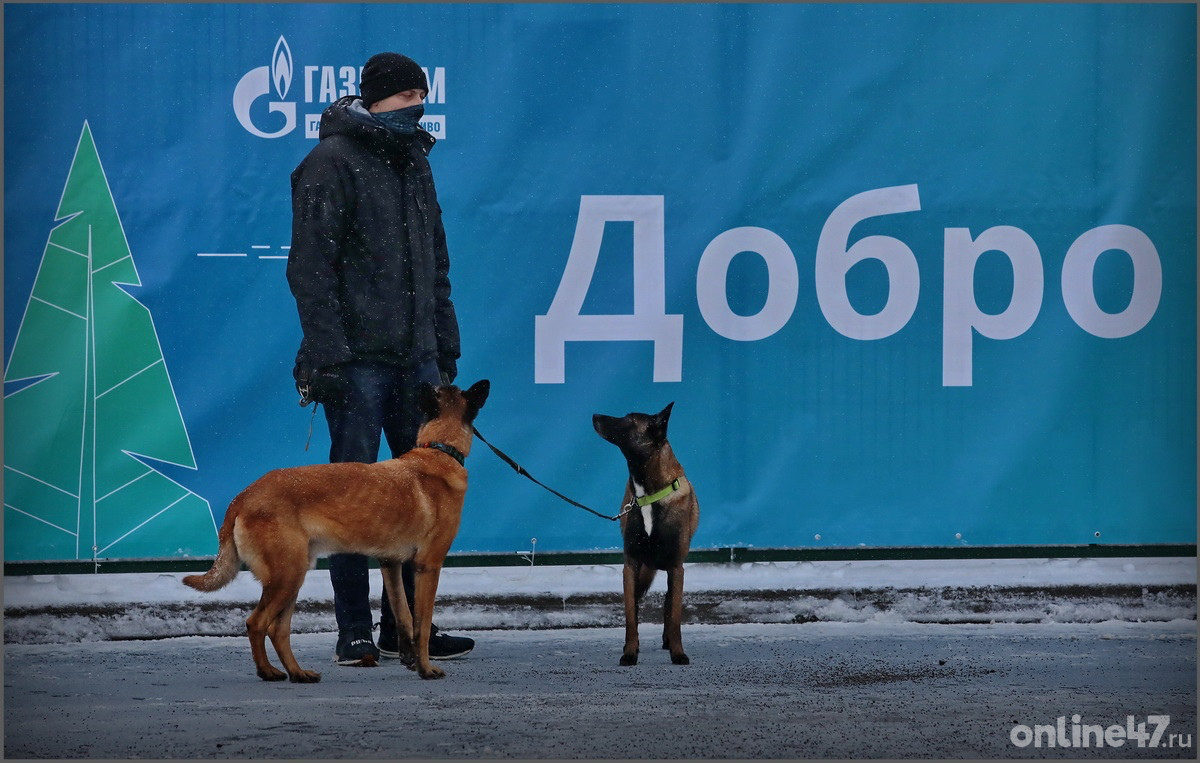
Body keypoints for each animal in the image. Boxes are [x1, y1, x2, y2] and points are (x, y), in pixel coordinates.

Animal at [181, 379, 487, 681]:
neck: (438, 449)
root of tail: (243, 496)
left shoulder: (391, 564)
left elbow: (405, 617)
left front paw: (410, 660)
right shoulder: (428, 566)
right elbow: (421, 624)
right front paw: (426, 669)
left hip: (293, 576)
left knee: (277, 630)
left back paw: (297, 672)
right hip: (287, 576)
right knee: (256, 623)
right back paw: (267, 671)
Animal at [592, 403, 700, 667]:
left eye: (628, 420)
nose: (594, 416)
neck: (649, 496)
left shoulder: (676, 568)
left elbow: (674, 617)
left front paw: (678, 652)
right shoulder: (630, 565)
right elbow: (631, 616)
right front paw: (630, 652)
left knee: (668, 605)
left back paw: (668, 642)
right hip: (643, 572)